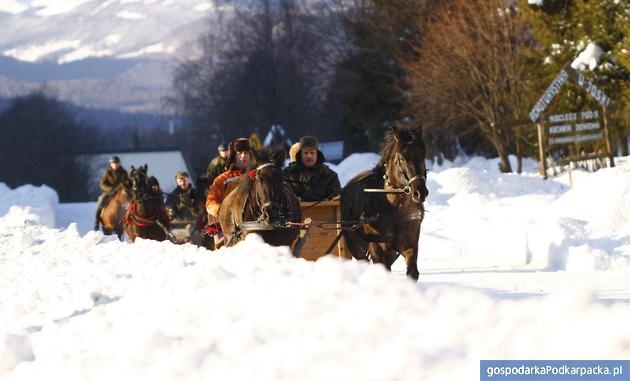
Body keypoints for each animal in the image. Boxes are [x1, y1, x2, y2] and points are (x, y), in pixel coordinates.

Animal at [344, 120, 432, 280]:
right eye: (402, 158)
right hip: (355, 245)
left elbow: (412, 272)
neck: (395, 209)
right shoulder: (376, 247)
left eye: (423, 156)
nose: (420, 192)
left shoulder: (409, 245)